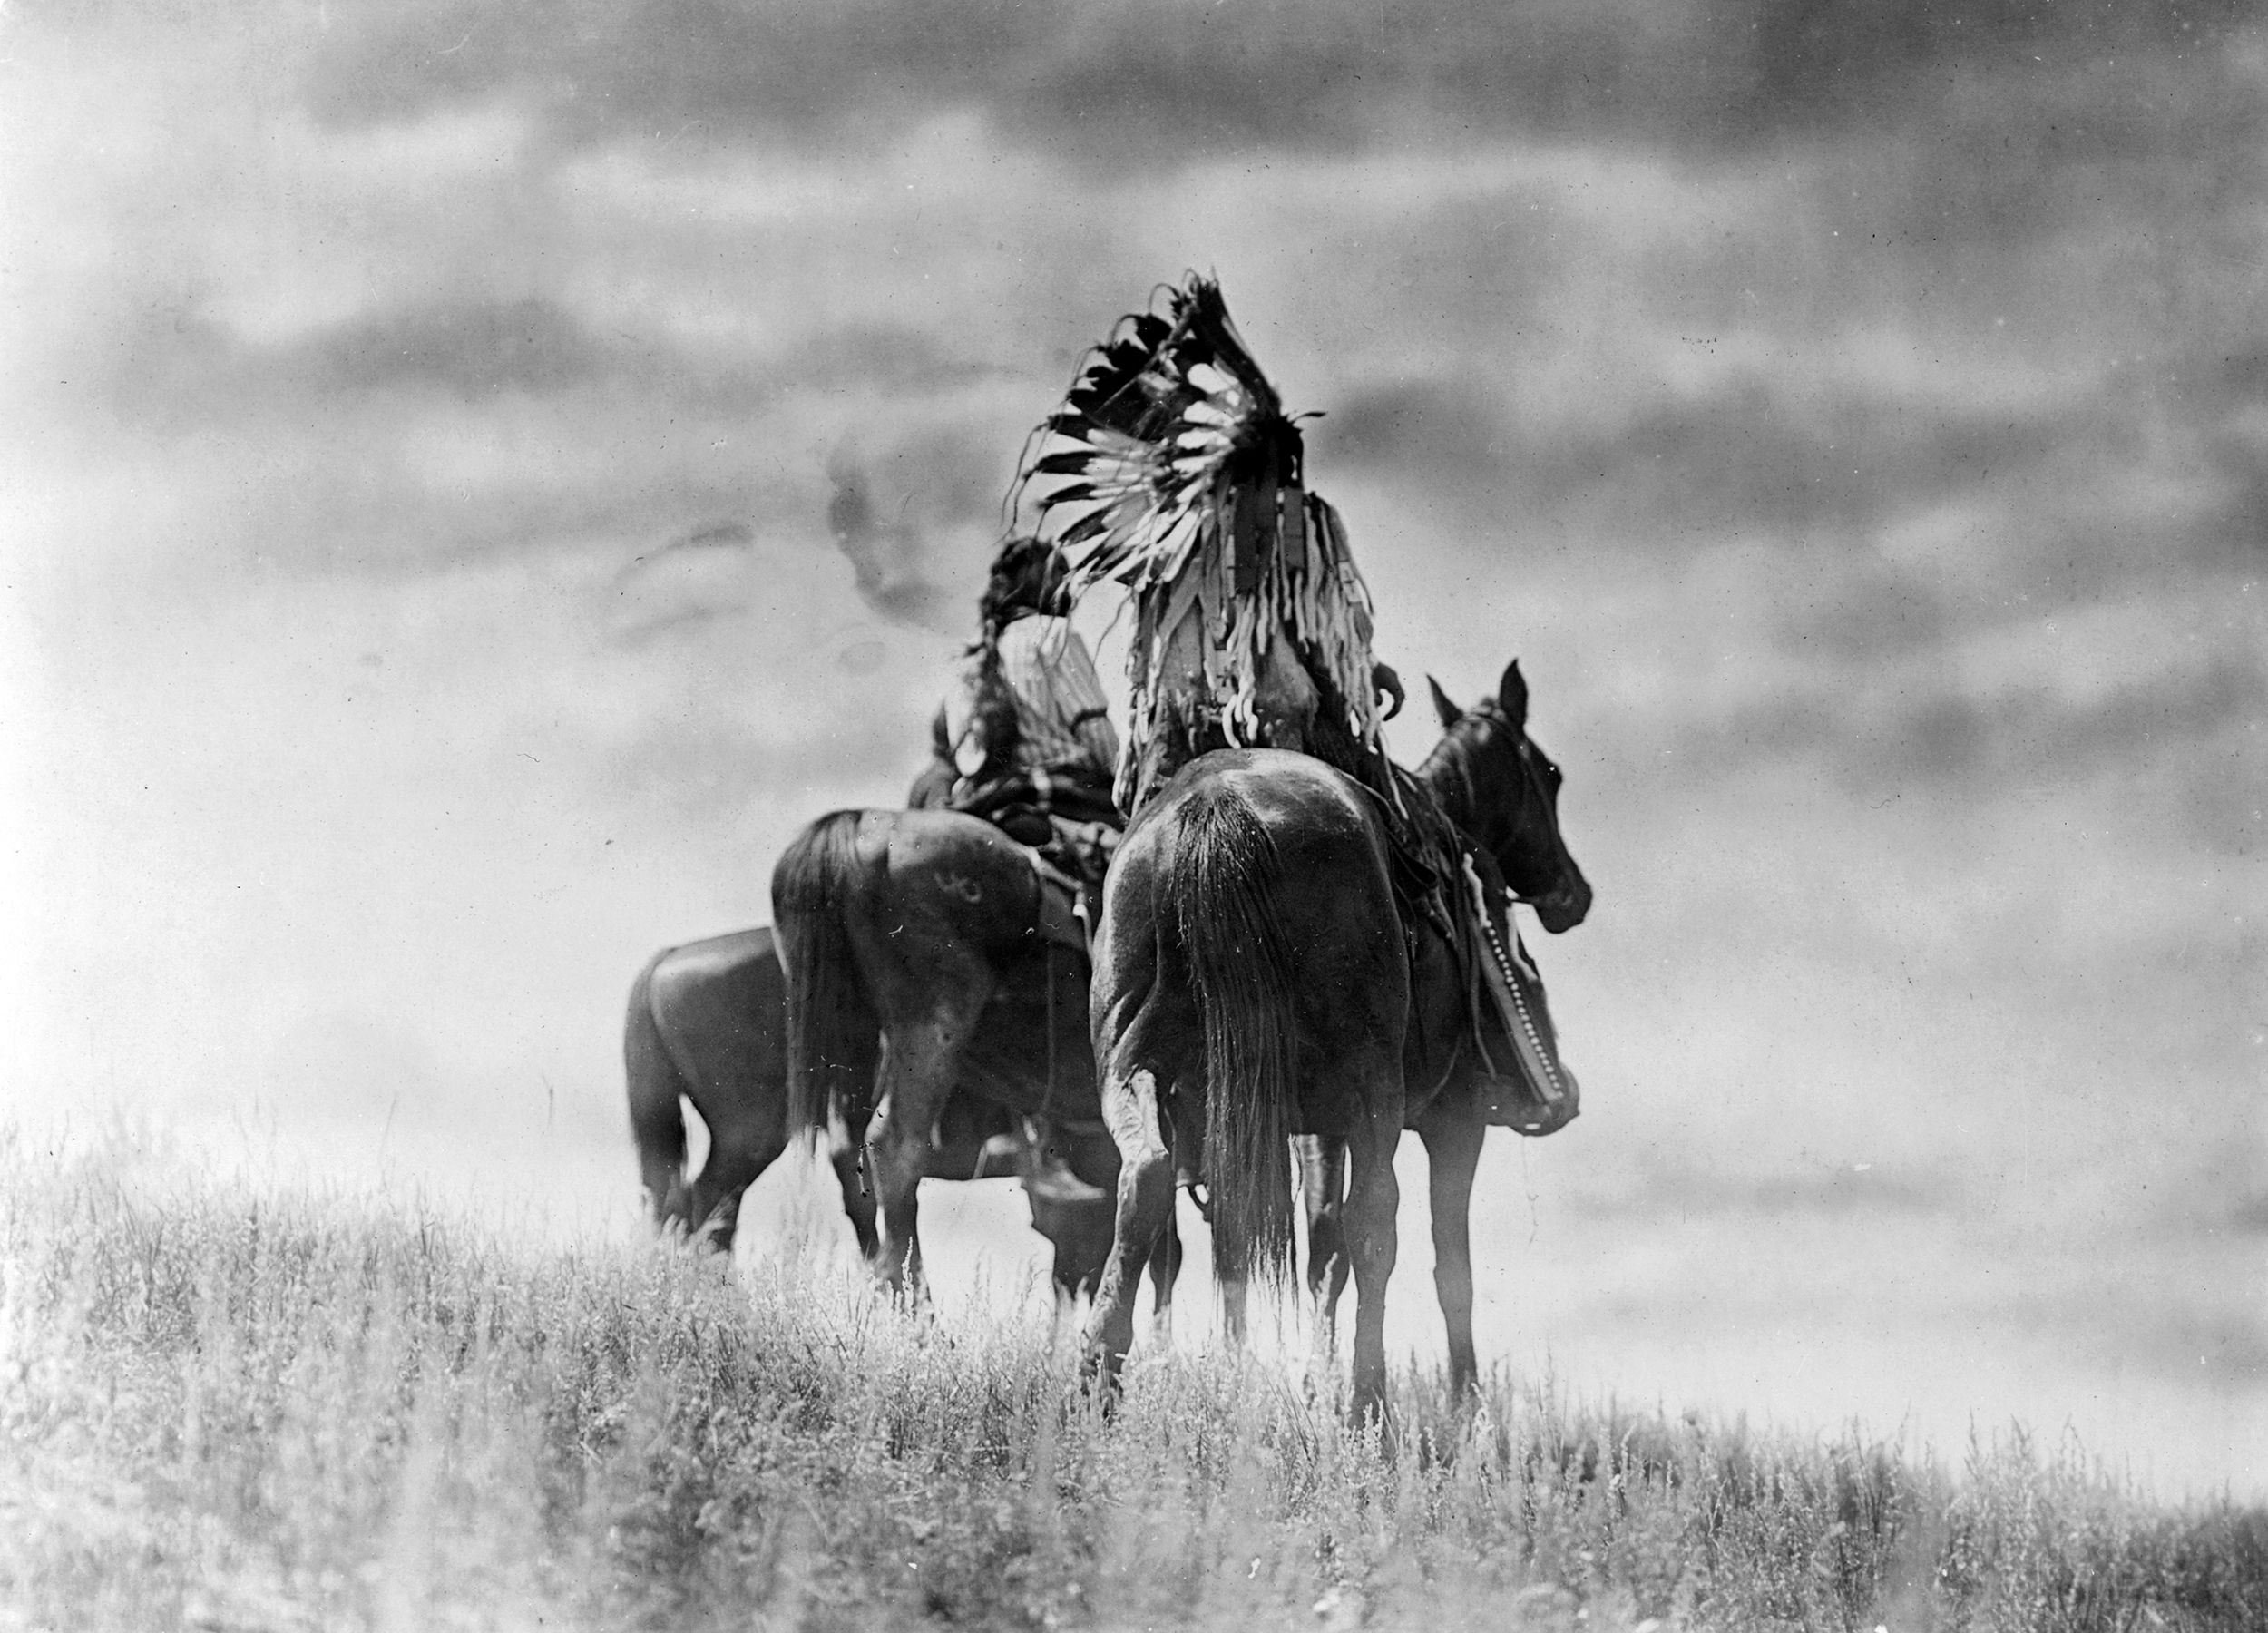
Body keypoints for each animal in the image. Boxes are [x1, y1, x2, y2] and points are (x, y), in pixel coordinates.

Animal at [1084, 658, 1597, 1424]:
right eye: (1551, 773)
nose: (1573, 893)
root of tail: (1212, 806)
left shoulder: (1313, 1127)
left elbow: (1321, 1248)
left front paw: (1314, 1378)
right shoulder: (1453, 1120)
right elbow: (1445, 1264)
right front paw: (1463, 1404)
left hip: (1135, 1070)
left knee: (1146, 1177)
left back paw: (1097, 1374)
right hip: (1371, 1091)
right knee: (1375, 1226)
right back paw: (1368, 1402)